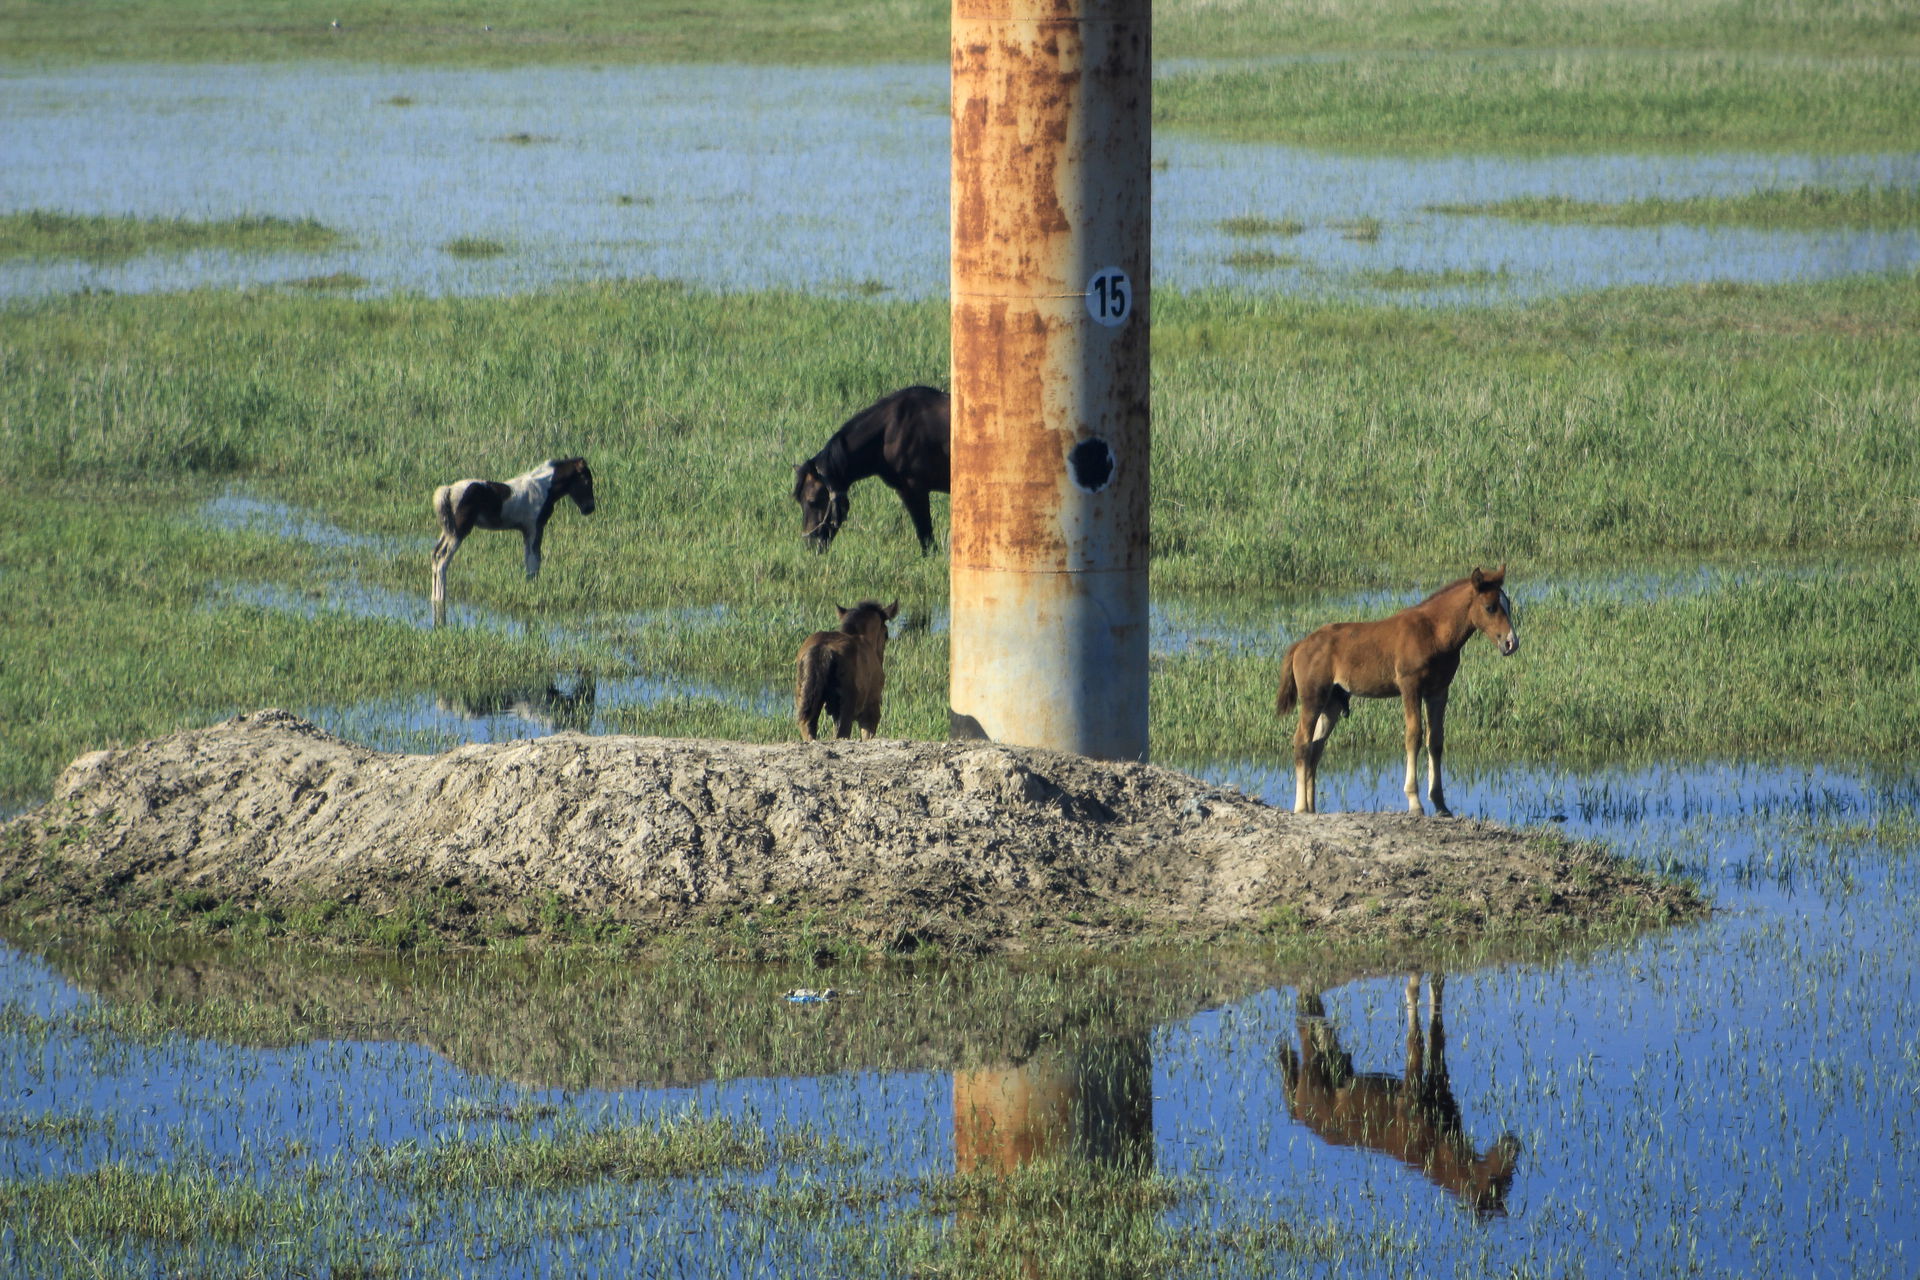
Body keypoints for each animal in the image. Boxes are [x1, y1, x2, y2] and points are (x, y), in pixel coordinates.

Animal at [430, 457, 596, 605]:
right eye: (587, 481)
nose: (590, 508)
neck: (543, 488)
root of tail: (449, 490)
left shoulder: (526, 531)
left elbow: (529, 561)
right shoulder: (535, 528)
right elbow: (534, 561)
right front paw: (534, 592)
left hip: (447, 530)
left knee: (435, 555)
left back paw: (435, 597)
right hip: (459, 531)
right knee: (443, 559)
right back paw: (442, 597)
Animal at [1276, 566, 1517, 817]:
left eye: (1508, 604)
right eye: (1490, 607)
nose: (1511, 643)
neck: (1433, 632)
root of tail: (1300, 646)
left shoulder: (1438, 691)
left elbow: (1436, 740)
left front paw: (1441, 804)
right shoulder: (1410, 686)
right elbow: (1414, 736)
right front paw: (1415, 802)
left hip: (1331, 703)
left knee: (1316, 748)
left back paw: (1312, 807)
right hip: (1312, 698)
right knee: (1302, 742)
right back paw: (1301, 807)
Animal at [1277, 975, 1521, 1217]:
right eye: (1495, 1182)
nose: (1514, 1146)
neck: (1437, 1150)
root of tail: (1300, 1114)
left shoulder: (1438, 1083)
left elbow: (1436, 1030)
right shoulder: (1411, 1097)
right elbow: (1416, 1038)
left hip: (1336, 1064)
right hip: (1313, 1069)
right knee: (1304, 1024)